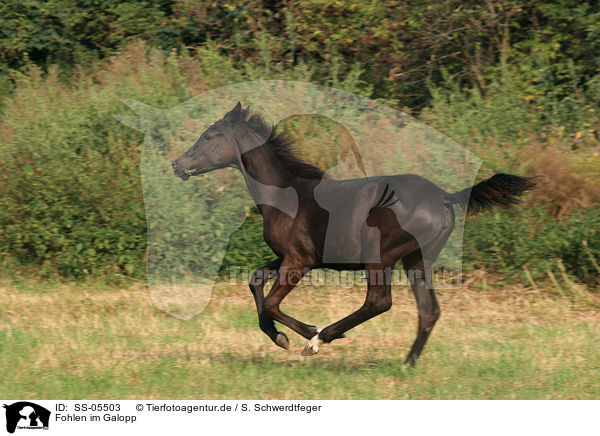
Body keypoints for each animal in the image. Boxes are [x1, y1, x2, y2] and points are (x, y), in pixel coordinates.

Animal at [171, 103, 536, 364]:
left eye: (210, 137)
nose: (177, 164)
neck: (285, 196)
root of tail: (445, 196)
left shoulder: (298, 261)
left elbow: (273, 303)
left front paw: (308, 334)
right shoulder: (288, 257)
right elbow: (254, 281)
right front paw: (279, 337)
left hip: (381, 256)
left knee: (379, 302)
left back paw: (323, 338)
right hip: (417, 259)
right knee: (428, 311)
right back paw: (407, 363)